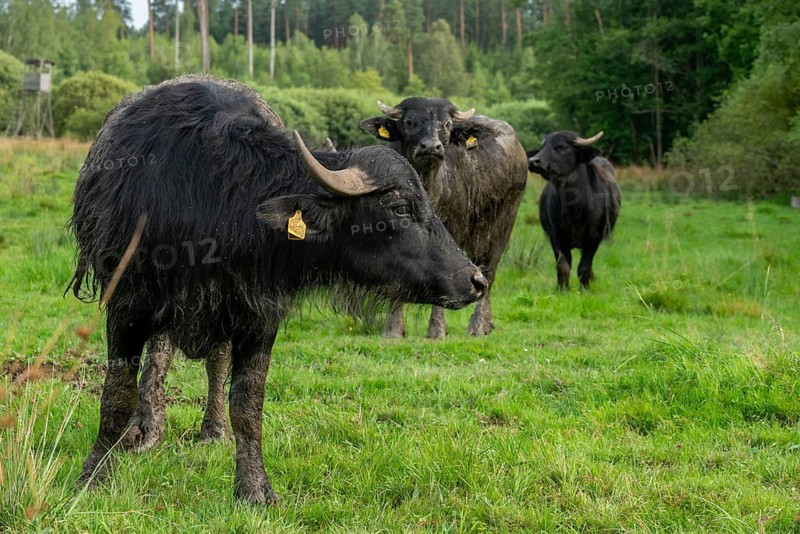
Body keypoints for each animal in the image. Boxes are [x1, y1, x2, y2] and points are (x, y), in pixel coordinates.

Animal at [70, 75, 486, 504]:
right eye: (400, 207)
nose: (476, 280)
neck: (217, 200)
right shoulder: (126, 306)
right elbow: (117, 392)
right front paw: (95, 474)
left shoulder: (259, 316)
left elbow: (247, 402)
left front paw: (254, 487)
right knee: (160, 355)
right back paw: (148, 427)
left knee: (214, 363)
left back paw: (212, 430)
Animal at [361, 98, 527, 338]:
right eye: (409, 121)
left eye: (446, 124)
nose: (431, 147)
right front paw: (393, 330)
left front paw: (436, 330)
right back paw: (487, 324)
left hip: (504, 222)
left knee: (489, 270)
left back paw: (477, 325)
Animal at [527, 131, 621, 289]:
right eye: (542, 147)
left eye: (561, 146)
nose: (533, 161)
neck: (574, 209)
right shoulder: (556, 236)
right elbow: (563, 266)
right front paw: (562, 289)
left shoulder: (594, 237)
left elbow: (584, 266)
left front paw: (585, 288)